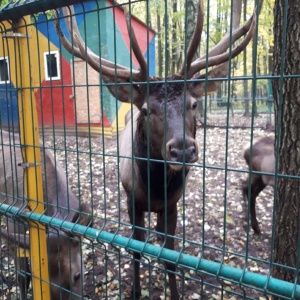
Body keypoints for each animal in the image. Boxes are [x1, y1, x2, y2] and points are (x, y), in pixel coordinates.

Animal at [55, 1, 258, 298]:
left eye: (194, 103)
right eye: (146, 109)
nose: (182, 150)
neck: (155, 188)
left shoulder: (172, 204)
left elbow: (170, 256)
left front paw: (173, 291)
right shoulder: (132, 200)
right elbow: (136, 249)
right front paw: (136, 291)